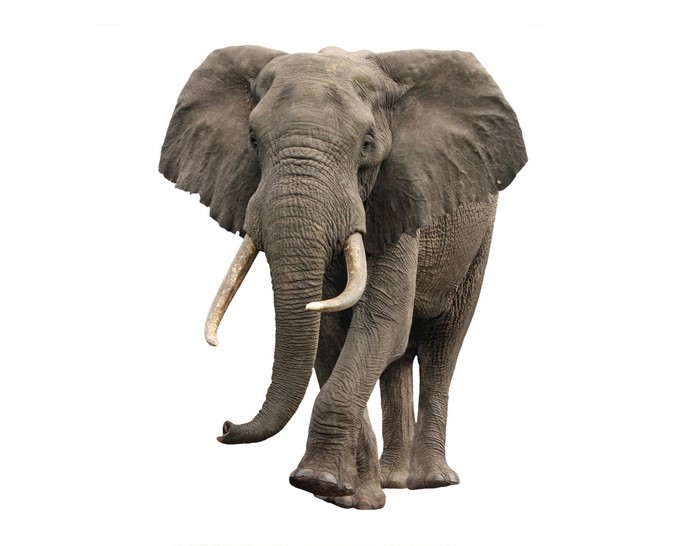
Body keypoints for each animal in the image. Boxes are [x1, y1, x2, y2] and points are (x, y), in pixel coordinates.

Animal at [159, 45, 527, 509]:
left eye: (367, 145)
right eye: (253, 141)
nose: (225, 426)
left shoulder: (399, 198)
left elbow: (380, 325)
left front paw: (318, 482)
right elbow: (331, 335)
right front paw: (349, 497)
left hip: (477, 239)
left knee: (442, 346)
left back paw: (435, 482)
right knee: (398, 359)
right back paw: (393, 481)